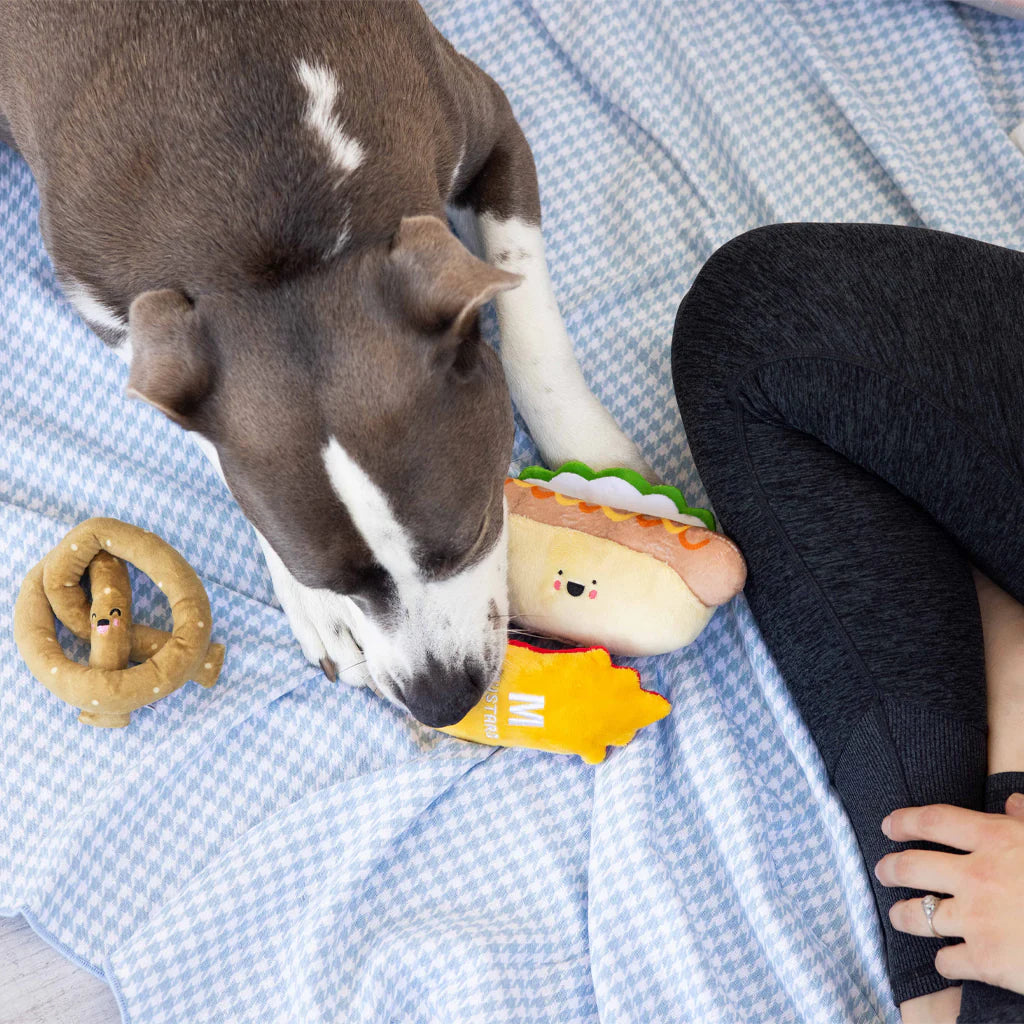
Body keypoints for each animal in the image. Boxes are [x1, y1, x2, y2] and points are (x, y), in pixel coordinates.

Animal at [0, 0, 647, 729]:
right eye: (328, 579)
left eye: (475, 529)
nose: (443, 702)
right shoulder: (107, 306)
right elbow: (212, 442)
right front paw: (319, 610)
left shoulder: (490, 127)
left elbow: (525, 295)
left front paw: (589, 452)